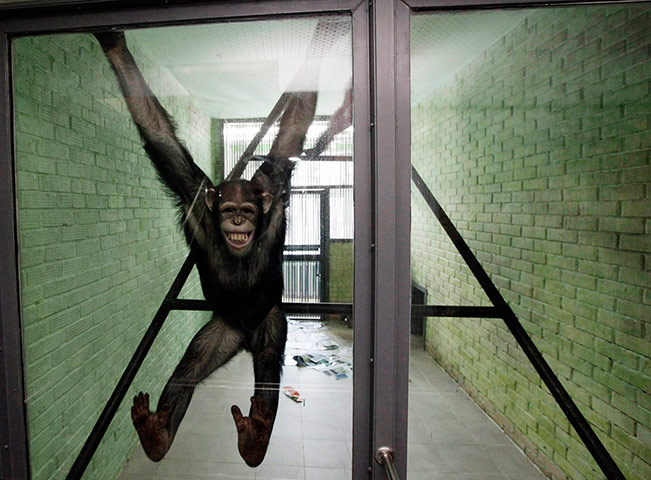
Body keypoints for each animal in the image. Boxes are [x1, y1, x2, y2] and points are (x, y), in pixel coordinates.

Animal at [93, 31, 318, 467]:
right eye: (228, 210)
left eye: (247, 210)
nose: (238, 222)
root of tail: (242, 339)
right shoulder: (194, 196)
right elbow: (160, 136)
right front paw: (112, 43)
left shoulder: (273, 187)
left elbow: (292, 131)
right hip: (220, 331)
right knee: (193, 363)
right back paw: (158, 435)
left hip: (267, 322)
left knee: (268, 360)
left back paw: (256, 435)